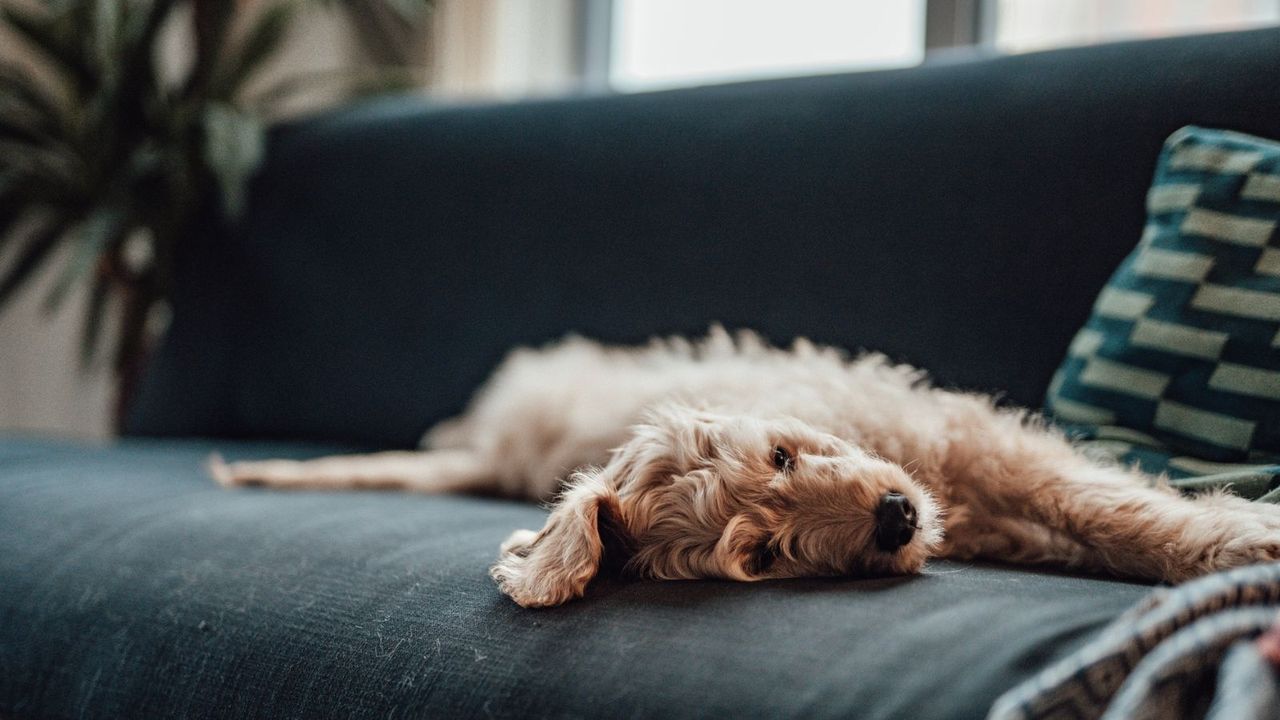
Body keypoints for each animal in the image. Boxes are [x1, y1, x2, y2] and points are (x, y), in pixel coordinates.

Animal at [207, 326, 1280, 604]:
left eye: (782, 453)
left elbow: (1101, 502)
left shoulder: (976, 439)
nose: (895, 518)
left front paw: (1235, 537)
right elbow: (1094, 519)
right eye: (761, 556)